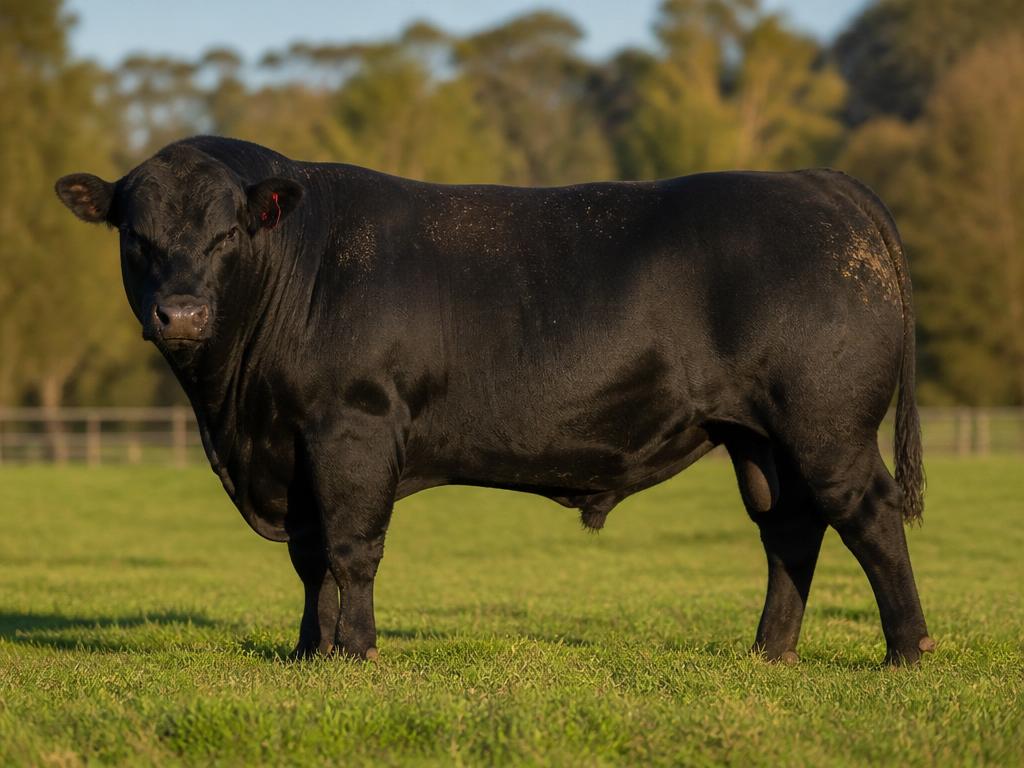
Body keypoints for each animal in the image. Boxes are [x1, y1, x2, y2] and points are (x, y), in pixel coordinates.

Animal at [55, 136, 933, 665]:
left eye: (229, 233)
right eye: (136, 235)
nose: (181, 314)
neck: (236, 413)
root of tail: (816, 182)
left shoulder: (352, 429)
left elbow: (352, 550)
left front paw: (357, 652)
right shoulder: (291, 446)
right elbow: (311, 559)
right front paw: (309, 652)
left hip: (825, 423)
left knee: (867, 514)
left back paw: (907, 650)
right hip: (758, 437)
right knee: (790, 529)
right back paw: (769, 652)